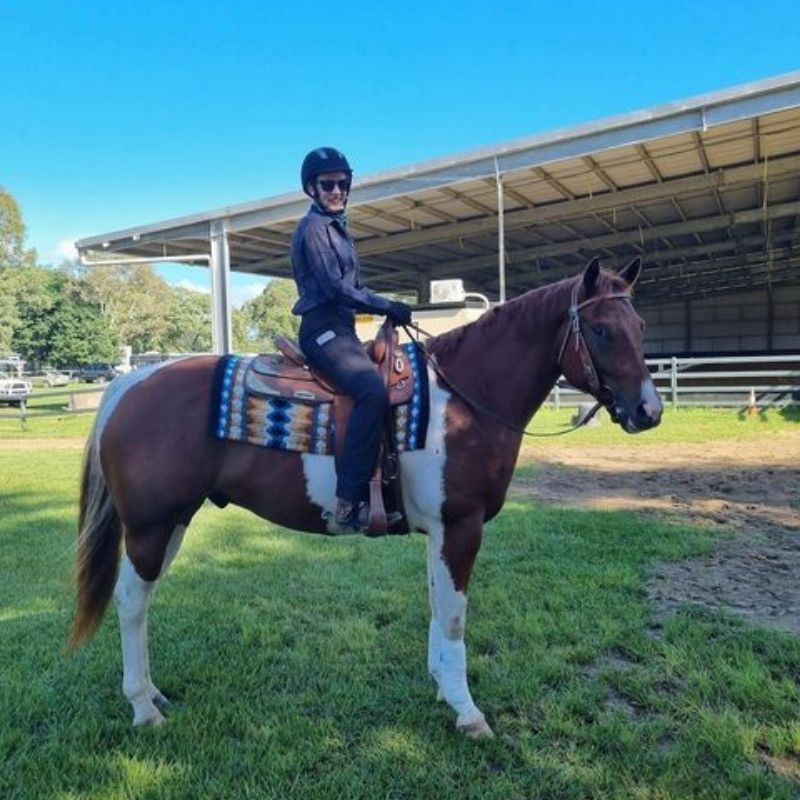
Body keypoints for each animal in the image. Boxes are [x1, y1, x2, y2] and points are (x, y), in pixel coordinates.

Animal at [69, 256, 664, 736]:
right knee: (131, 601)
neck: (464, 397)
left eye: (640, 325)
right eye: (602, 330)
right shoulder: (461, 525)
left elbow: (437, 605)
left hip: (174, 522)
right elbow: (454, 616)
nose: (649, 411)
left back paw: (152, 693)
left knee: (142, 600)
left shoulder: (440, 532)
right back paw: (143, 707)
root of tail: (128, 385)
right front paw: (468, 713)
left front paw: (442, 687)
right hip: (149, 527)